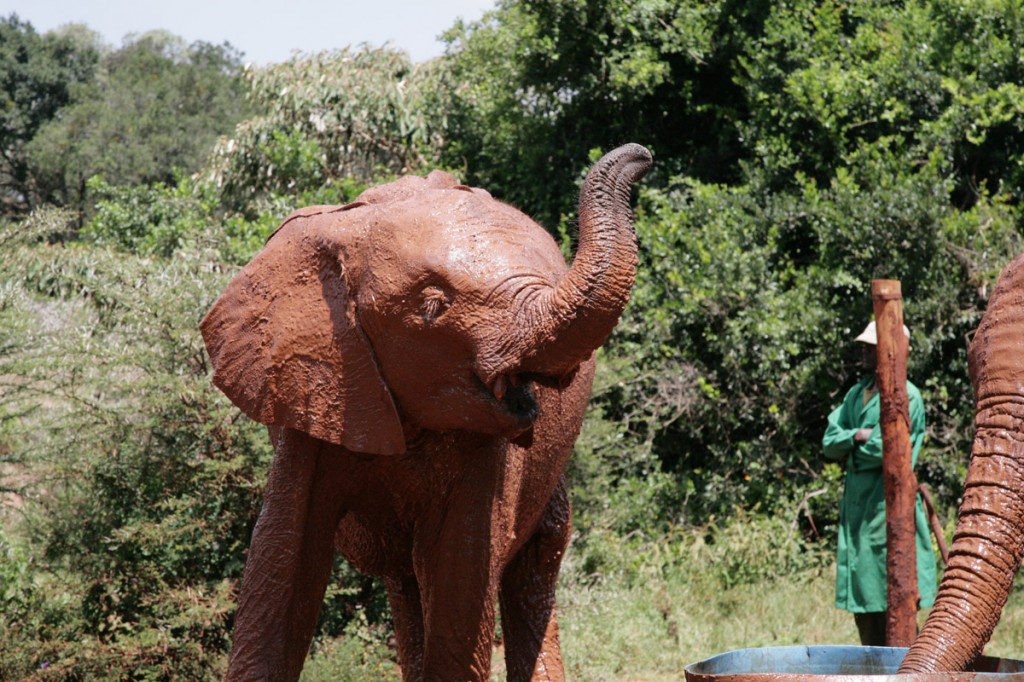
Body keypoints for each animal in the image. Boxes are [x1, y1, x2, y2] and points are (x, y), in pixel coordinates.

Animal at [199, 144, 651, 679]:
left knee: (535, 559)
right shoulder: (320, 391)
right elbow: (280, 564)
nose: (642, 156)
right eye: (433, 305)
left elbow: (461, 573)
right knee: (406, 579)